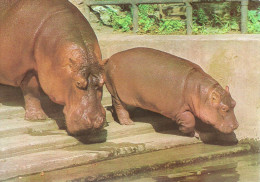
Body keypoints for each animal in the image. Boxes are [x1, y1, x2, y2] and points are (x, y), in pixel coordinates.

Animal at [103, 47, 238, 136]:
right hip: (116, 92)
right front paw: (189, 132)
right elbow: (190, 120)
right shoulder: (177, 109)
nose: (236, 125)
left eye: (234, 103)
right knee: (119, 106)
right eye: (224, 108)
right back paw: (128, 122)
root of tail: (110, 58)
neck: (198, 92)